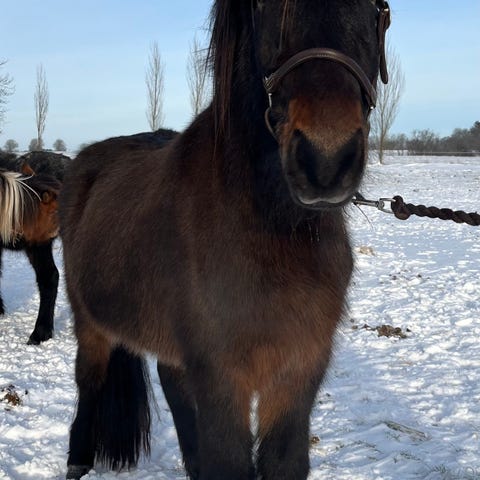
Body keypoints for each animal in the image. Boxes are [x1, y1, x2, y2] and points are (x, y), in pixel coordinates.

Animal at [59, 1, 391, 478]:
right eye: (264, 8)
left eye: (377, 8)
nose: (326, 160)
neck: (276, 235)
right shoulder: (221, 378)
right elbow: (229, 461)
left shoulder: (299, 371)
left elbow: (283, 459)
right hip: (89, 323)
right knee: (89, 381)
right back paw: (77, 460)